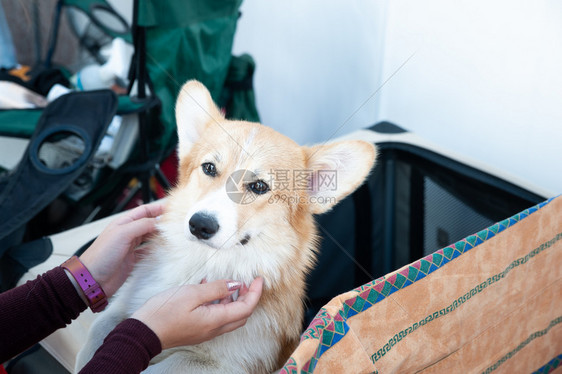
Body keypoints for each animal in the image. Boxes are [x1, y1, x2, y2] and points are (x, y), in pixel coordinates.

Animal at [73, 80, 372, 372]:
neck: (203, 263)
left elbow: (160, 366)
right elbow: (100, 330)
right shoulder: (124, 304)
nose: (199, 225)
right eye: (209, 168)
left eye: (259, 186)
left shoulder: (219, 363)